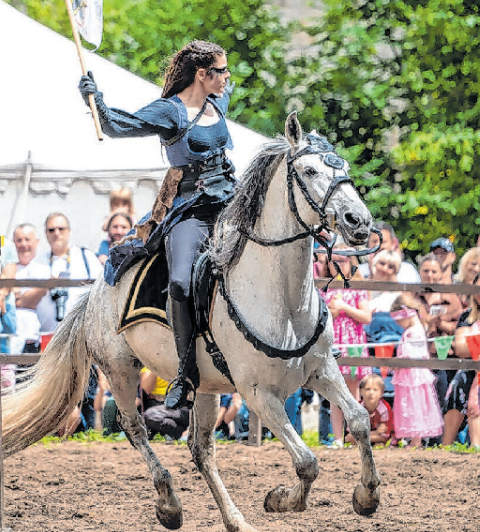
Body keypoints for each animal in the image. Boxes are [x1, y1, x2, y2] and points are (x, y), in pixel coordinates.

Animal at [2, 113, 378, 532]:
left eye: (343, 168)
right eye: (309, 170)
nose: (359, 221)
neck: (281, 300)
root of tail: (94, 293)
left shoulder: (322, 370)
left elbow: (359, 420)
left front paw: (367, 496)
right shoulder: (259, 394)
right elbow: (307, 461)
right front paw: (280, 500)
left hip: (207, 387)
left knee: (200, 450)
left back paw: (235, 520)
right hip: (120, 370)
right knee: (135, 429)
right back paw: (169, 504)